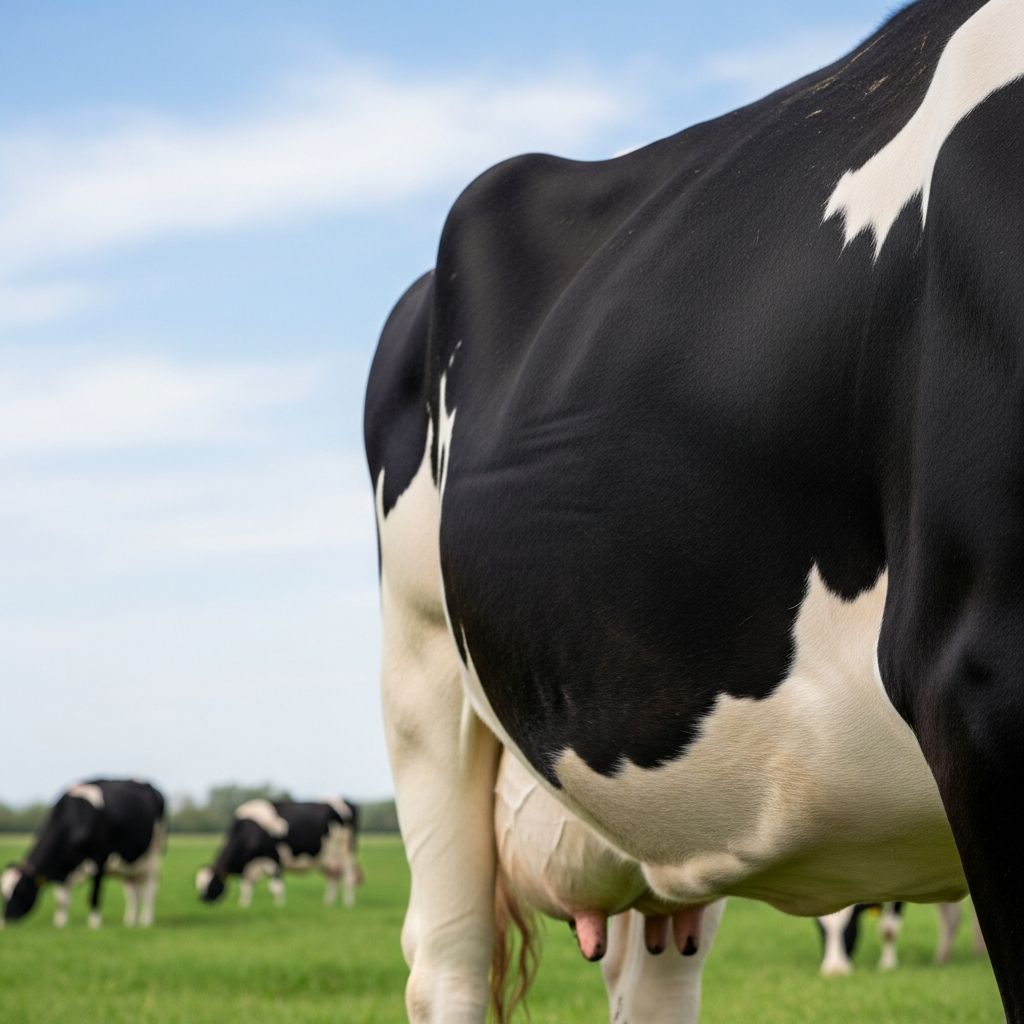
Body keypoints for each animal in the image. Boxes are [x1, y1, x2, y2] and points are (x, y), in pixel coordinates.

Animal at [1, 779, 165, 929]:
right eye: (3, 892)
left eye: (21, 891)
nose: (6, 919)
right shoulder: (64, 868)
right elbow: (61, 900)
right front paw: (60, 924)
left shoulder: (99, 860)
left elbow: (94, 895)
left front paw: (94, 924)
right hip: (129, 866)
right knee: (133, 893)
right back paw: (130, 922)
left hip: (153, 856)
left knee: (150, 889)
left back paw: (145, 921)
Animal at [195, 798, 361, 908]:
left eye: (211, 883)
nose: (203, 900)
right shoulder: (250, 866)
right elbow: (246, 886)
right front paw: (244, 905)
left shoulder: (273, 858)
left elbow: (276, 887)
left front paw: (279, 907)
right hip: (326, 857)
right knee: (332, 878)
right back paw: (328, 903)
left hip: (346, 852)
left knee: (348, 877)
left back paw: (348, 904)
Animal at [818, 899, 986, 976]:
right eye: (822, 932)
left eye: (851, 928)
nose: (834, 972)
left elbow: (888, 931)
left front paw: (887, 965)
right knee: (951, 916)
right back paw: (942, 959)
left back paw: (979, 952)